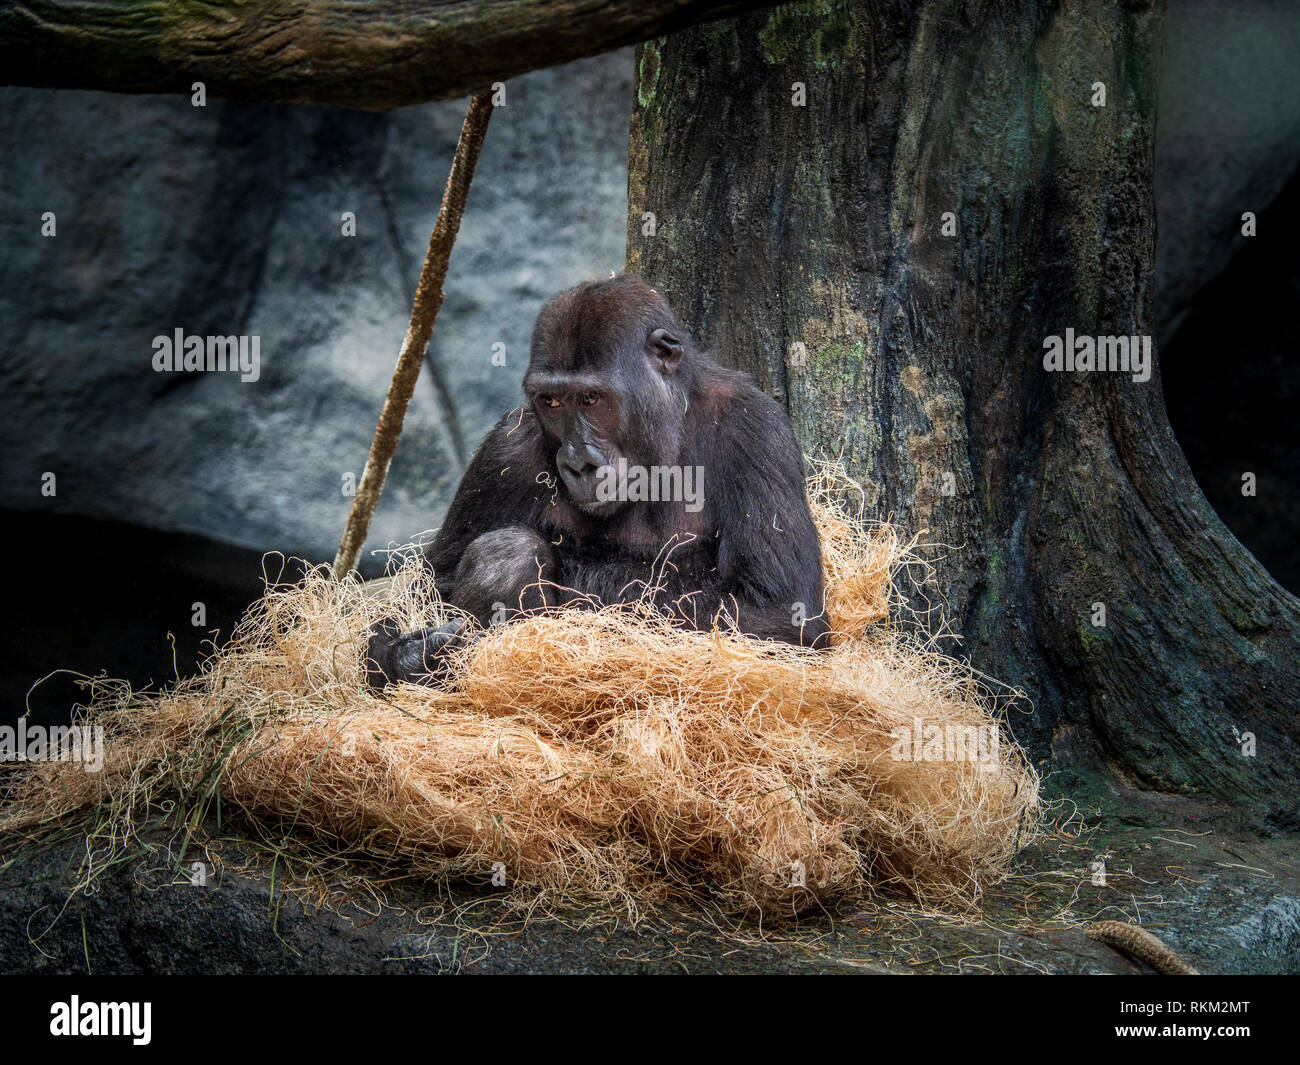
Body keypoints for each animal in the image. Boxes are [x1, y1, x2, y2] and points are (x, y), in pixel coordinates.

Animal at [364, 274, 828, 688]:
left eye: (592, 399)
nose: (578, 461)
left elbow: (778, 610)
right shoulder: (507, 447)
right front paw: (408, 657)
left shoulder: (756, 429)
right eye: (551, 402)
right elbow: (429, 582)